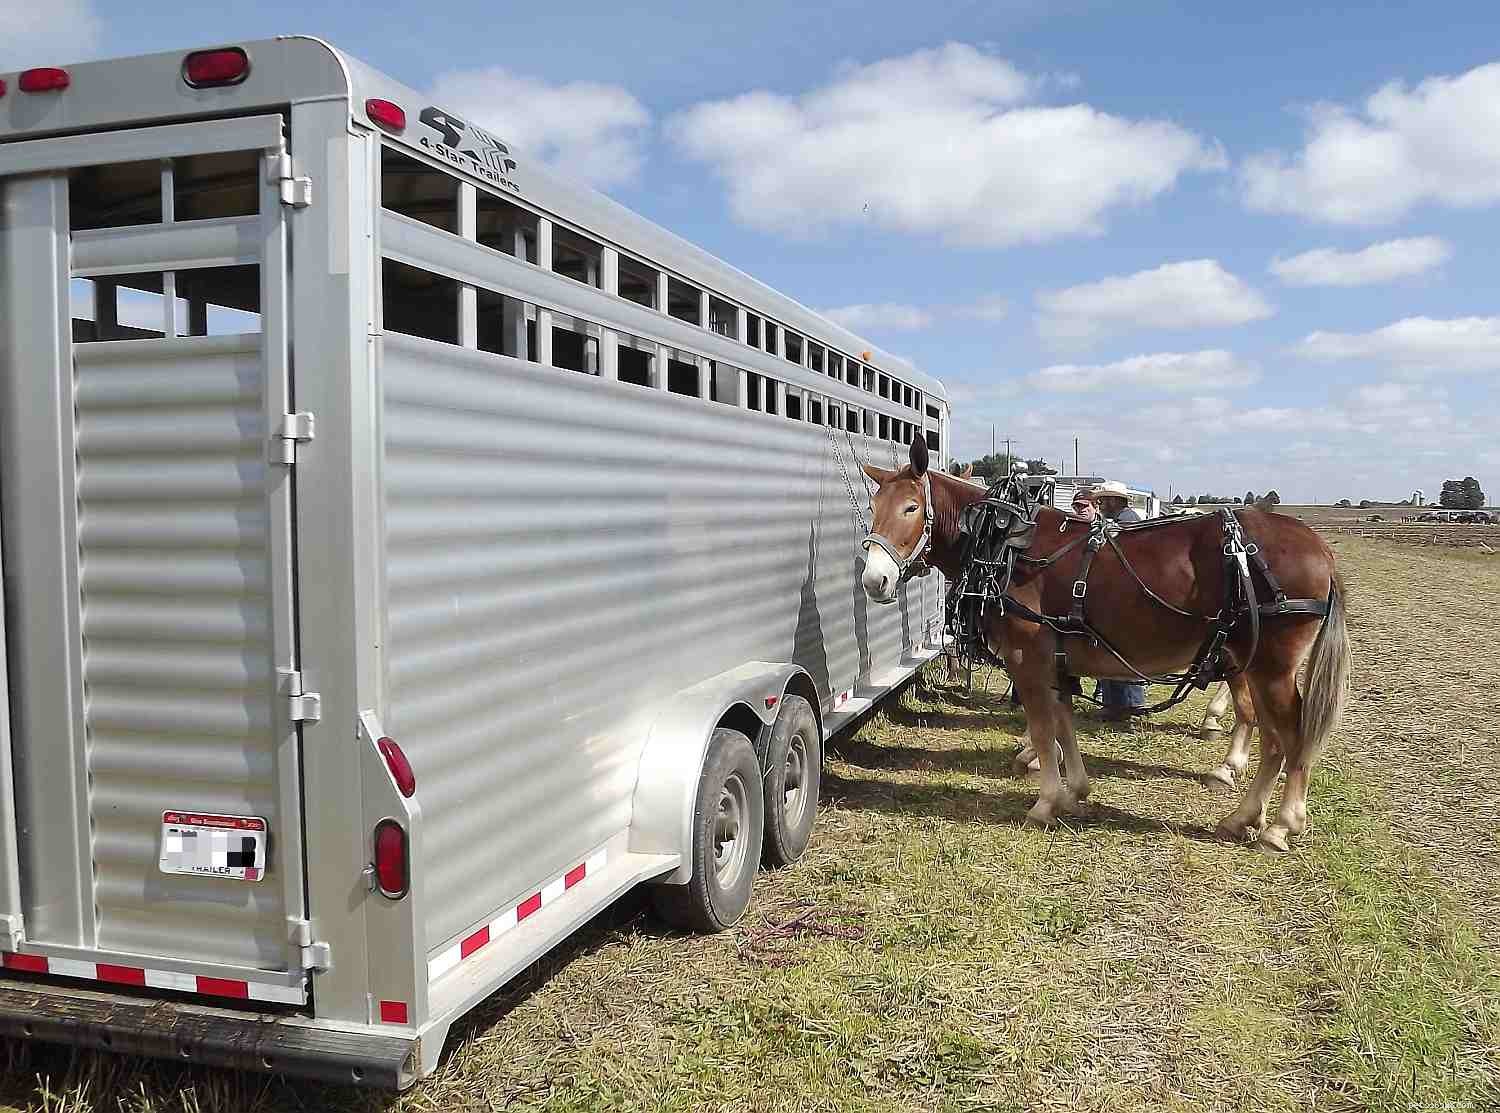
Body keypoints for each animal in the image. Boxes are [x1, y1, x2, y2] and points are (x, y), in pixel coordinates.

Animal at [858, 438, 1350, 851]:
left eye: (911, 507)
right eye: (873, 506)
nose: (873, 579)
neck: (1004, 545)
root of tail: (1319, 549)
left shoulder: (1027, 658)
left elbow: (1044, 727)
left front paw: (1044, 802)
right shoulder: (1057, 662)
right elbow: (1062, 724)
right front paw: (1074, 791)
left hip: (1271, 666)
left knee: (1292, 736)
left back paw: (1281, 824)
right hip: (1255, 664)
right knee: (1272, 739)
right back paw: (1243, 816)